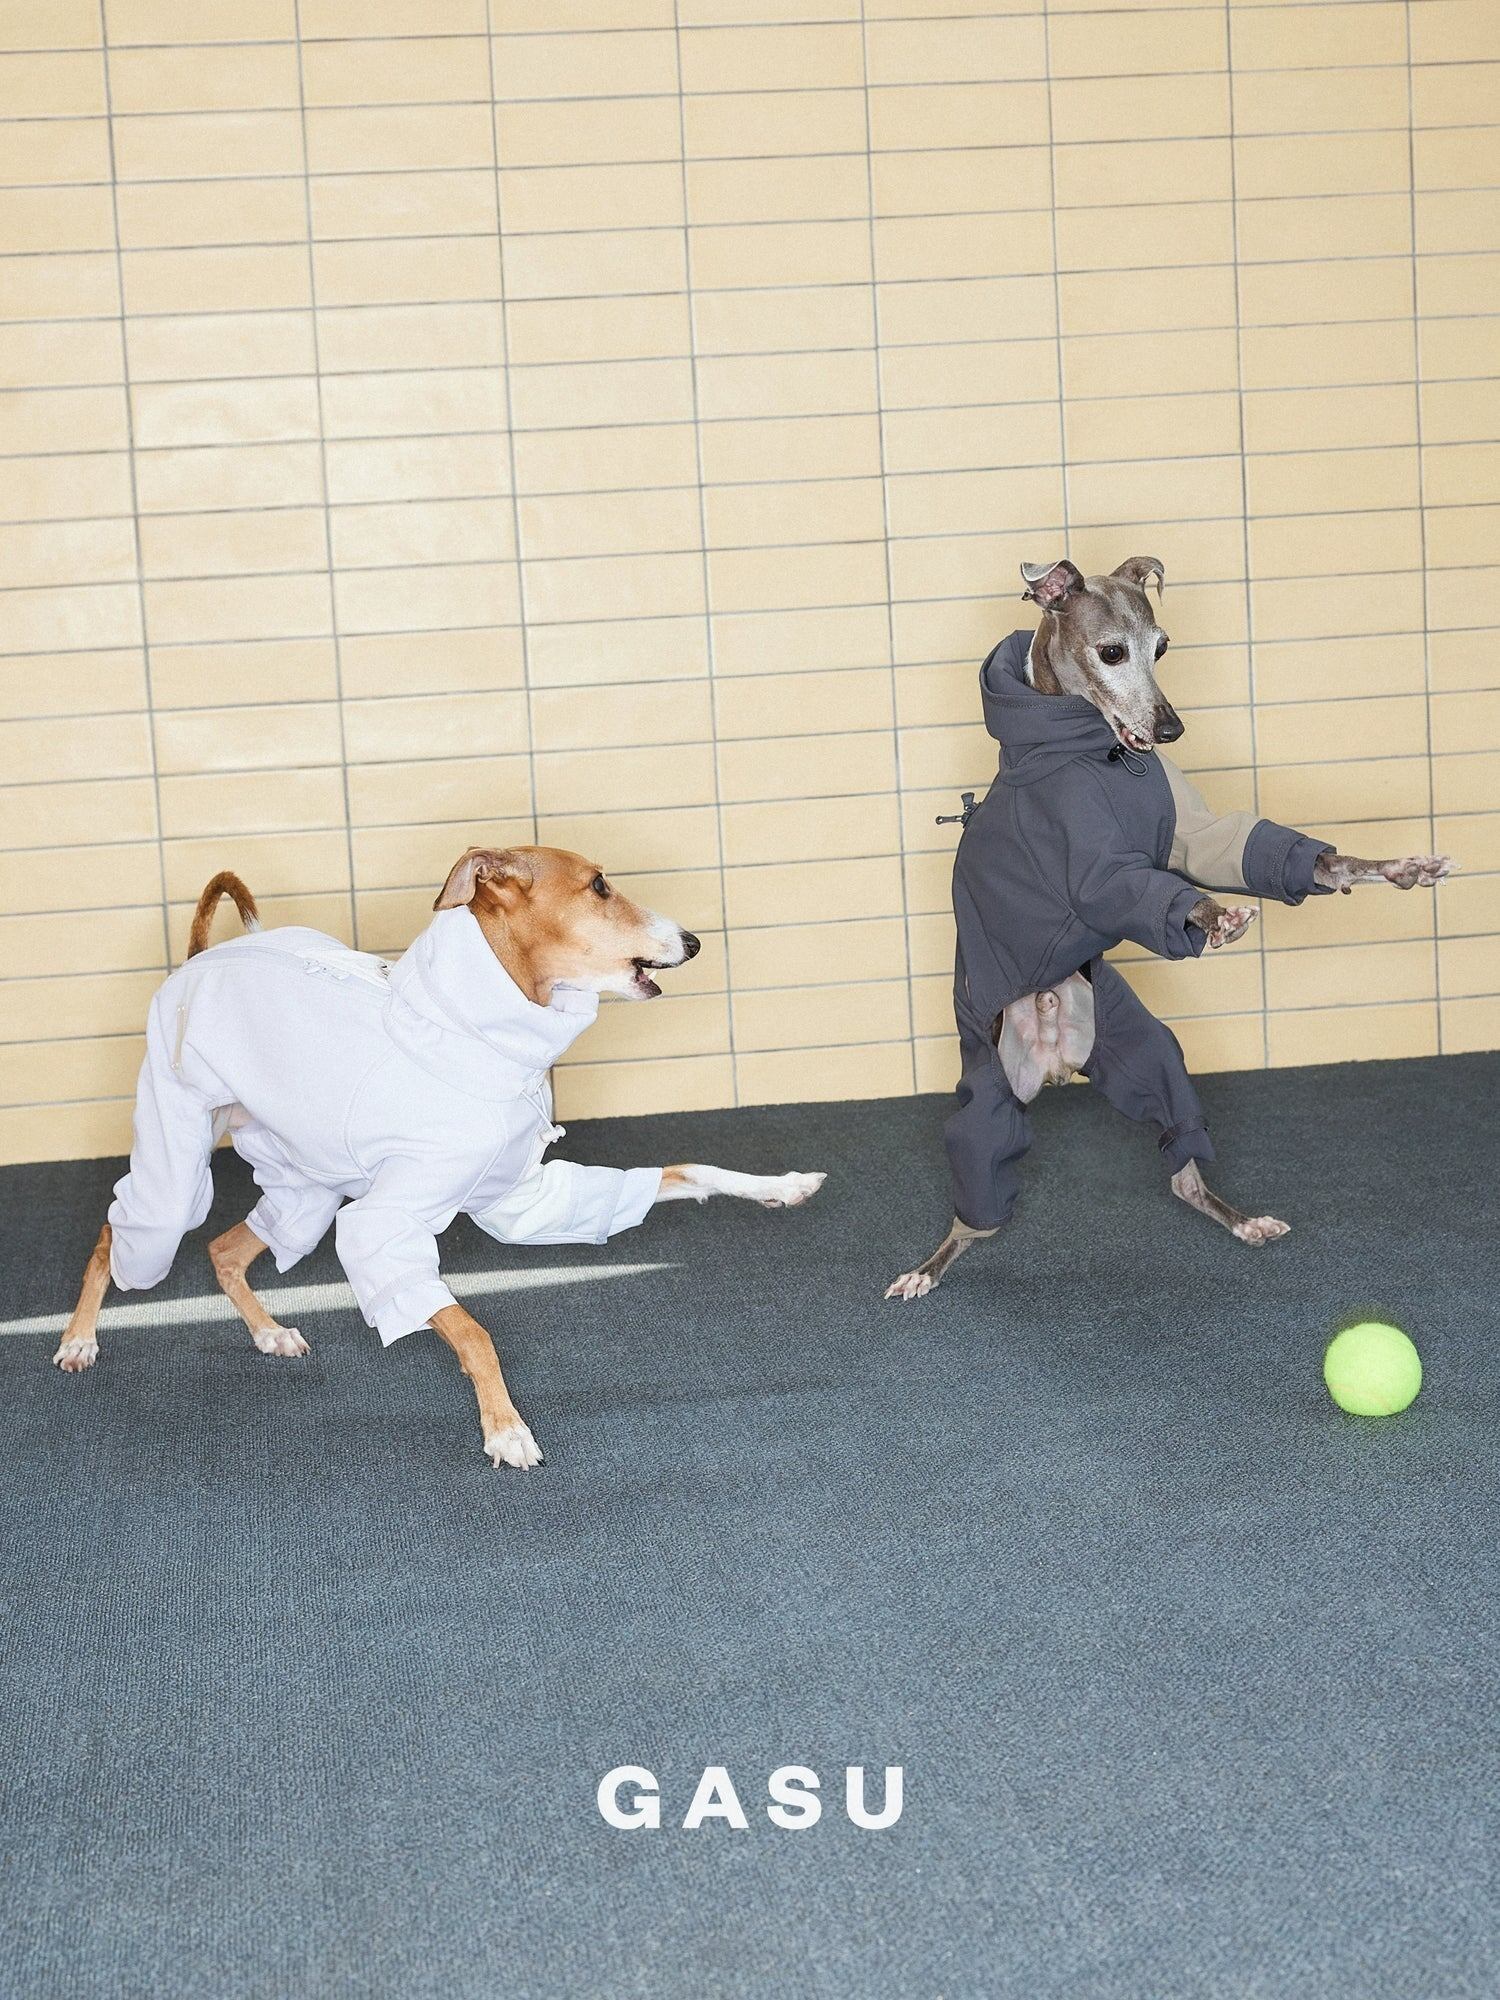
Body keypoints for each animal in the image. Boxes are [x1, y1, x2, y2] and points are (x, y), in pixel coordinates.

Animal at [54, 848, 825, 1467]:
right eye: (600, 885)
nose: (692, 940)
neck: (473, 1034)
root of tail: (196, 958)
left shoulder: (526, 1202)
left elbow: (684, 1171)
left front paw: (783, 1185)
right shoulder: (379, 1228)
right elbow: (473, 1332)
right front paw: (505, 1430)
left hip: (305, 1189)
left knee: (224, 1250)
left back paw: (270, 1334)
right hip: (176, 1169)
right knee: (117, 1232)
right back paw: (78, 1340)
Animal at [886, 555, 1454, 1302]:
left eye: (1161, 648)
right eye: (1110, 652)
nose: (1172, 730)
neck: (1093, 755)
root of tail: (1054, 1060)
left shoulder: (1195, 833)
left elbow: (1267, 854)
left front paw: (1402, 867)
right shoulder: (1093, 869)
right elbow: (1144, 891)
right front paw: (1214, 917)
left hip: (1145, 1049)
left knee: (1182, 1168)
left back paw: (1241, 1220)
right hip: (987, 1085)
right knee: (975, 1203)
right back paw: (927, 1267)